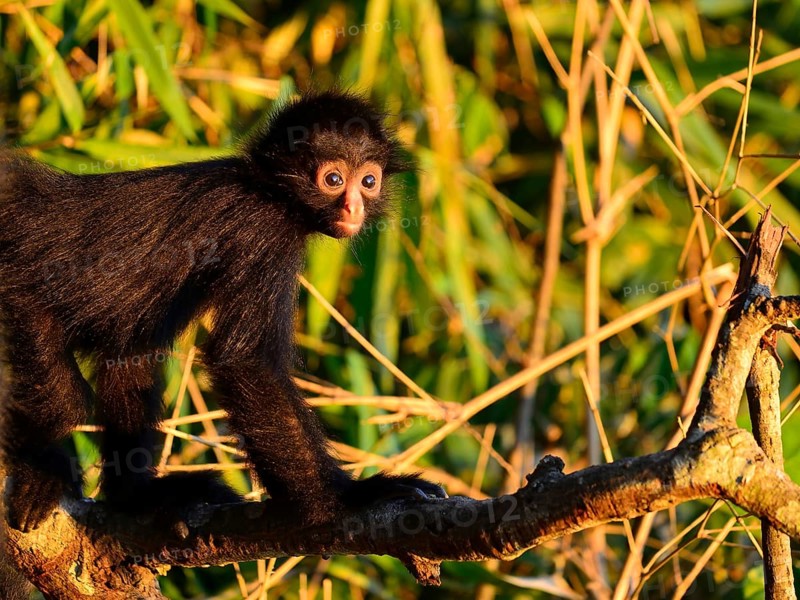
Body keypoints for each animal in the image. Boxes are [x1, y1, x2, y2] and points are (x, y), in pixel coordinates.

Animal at [0, 90, 446, 532]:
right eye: (334, 180)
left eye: (368, 182)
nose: (354, 208)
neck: (266, 189)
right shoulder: (262, 231)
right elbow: (245, 362)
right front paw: (346, 499)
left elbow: (130, 359)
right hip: (21, 294)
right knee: (66, 400)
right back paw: (41, 472)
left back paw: (137, 498)